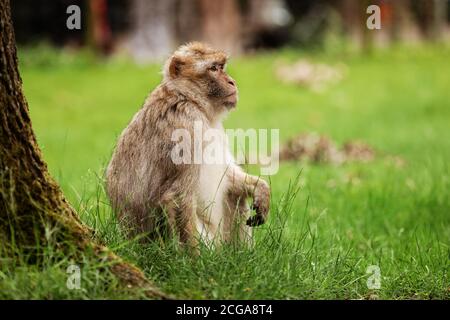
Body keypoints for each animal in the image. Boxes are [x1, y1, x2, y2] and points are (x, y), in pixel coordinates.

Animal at [105, 42, 268, 248]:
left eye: (222, 67)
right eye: (213, 68)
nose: (232, 81)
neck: (189, 98)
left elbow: (228, 175)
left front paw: (261, 188)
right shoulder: (186, 125)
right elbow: (177, 196)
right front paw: (194, 258)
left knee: (235, 195)